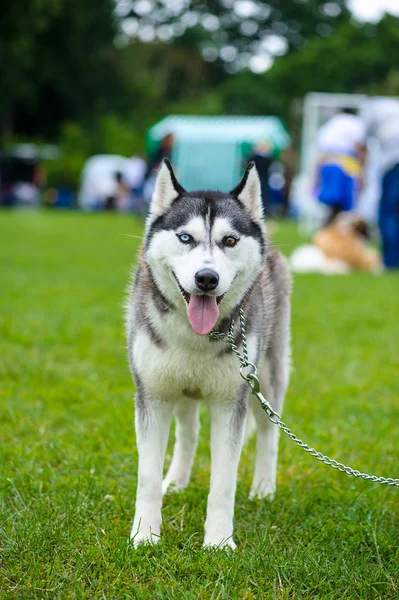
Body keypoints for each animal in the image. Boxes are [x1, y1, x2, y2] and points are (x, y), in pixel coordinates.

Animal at [127, 159, 290, 548]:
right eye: (185, 238)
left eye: (229, 240)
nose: (206, 278)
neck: (195, 336)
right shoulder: (152, 396)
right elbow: (147, 477)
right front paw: (145, 535)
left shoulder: (231, 402)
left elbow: (223, 482)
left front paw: (218, 542)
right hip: (182, 389)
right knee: (188, 432)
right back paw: (176, 481)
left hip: (267, 378)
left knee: (269, 433)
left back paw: (264, 488)